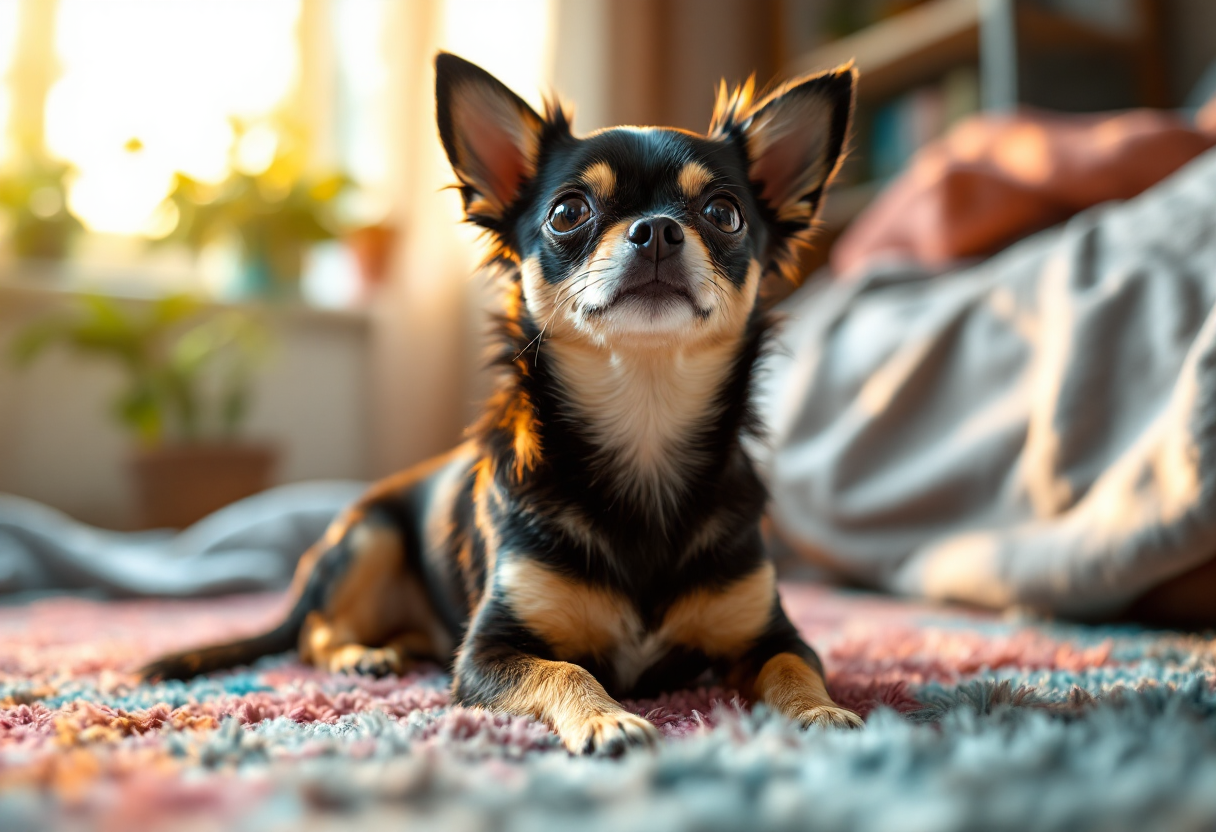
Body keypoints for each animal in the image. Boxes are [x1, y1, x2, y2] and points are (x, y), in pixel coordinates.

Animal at [144, 52, 865, 754]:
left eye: (723, 214)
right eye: (569, 212)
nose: (657, 229)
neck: (645, 423)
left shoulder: (769, 634)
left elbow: (794, 665)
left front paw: (821, 712)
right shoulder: (486, 654)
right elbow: (566, 669)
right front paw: (607, 721)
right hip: (370, 535)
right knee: (310, 633)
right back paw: (360, 654)